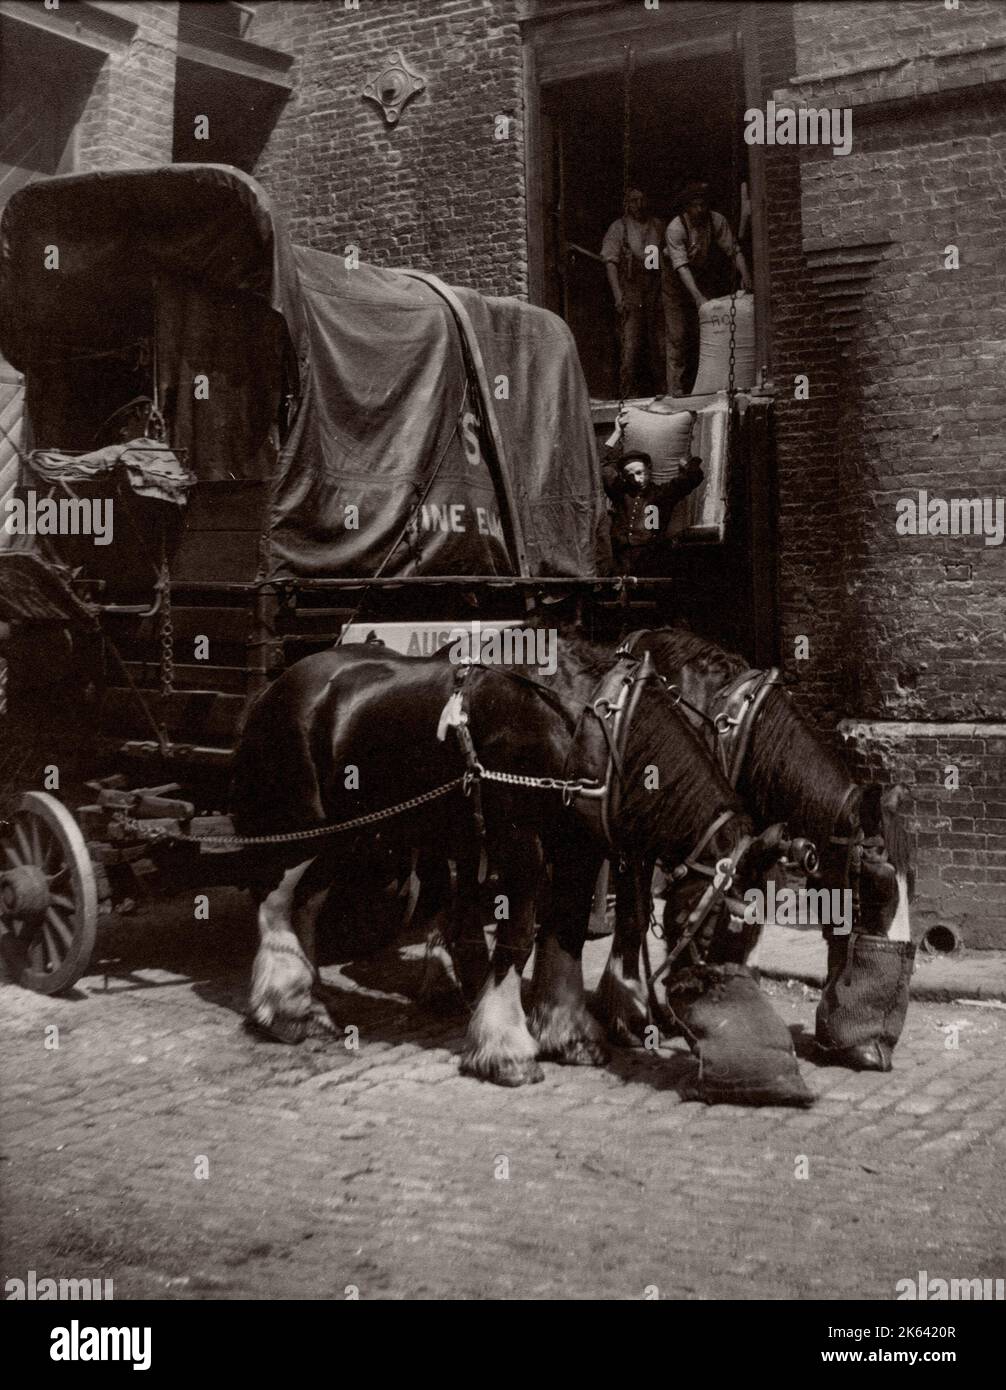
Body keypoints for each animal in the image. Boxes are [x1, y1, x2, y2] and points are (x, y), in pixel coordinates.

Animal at [227, 636, 811, 1100]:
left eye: (751, 936)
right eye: (716, 928)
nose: (755, 1065)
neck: (587, 720)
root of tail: (275, 687)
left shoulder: (577, 846)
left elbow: (566, 930)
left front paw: (569, 1034)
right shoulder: (519, 840)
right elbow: (519, 935)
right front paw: (505, 1049)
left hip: (352, 834)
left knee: (305, 905)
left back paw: (306, 1000)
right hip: (300, 830)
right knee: (274, 902)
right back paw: (284, 1012)